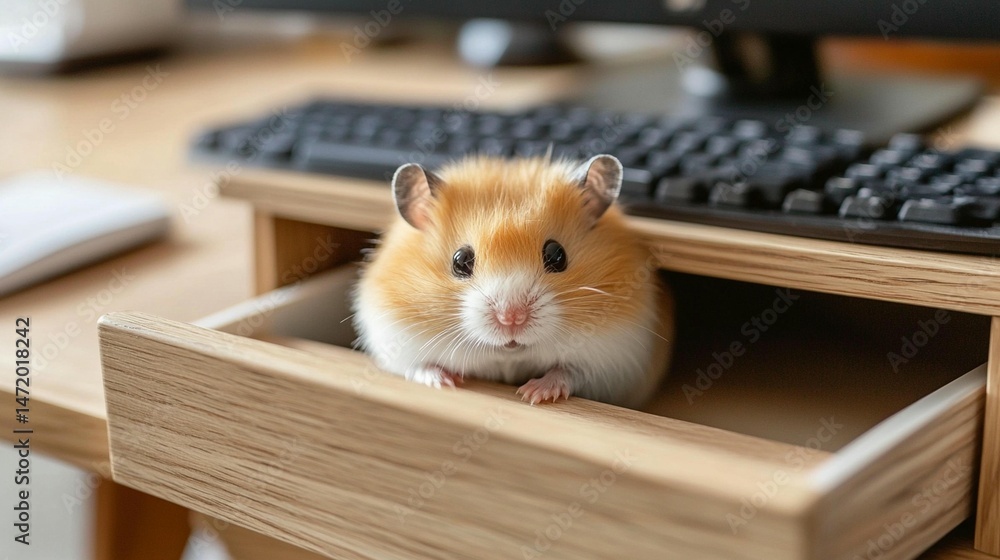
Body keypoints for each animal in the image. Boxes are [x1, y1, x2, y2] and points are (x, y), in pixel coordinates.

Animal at [352, 154, 674, 408]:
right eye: (460, 261)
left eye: (557, 255)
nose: (512, 318)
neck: (508, 356)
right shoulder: (391, 336)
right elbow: (417, 366)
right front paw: (445, 382)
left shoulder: (615, 360)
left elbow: (570, 372)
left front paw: (532, 393)